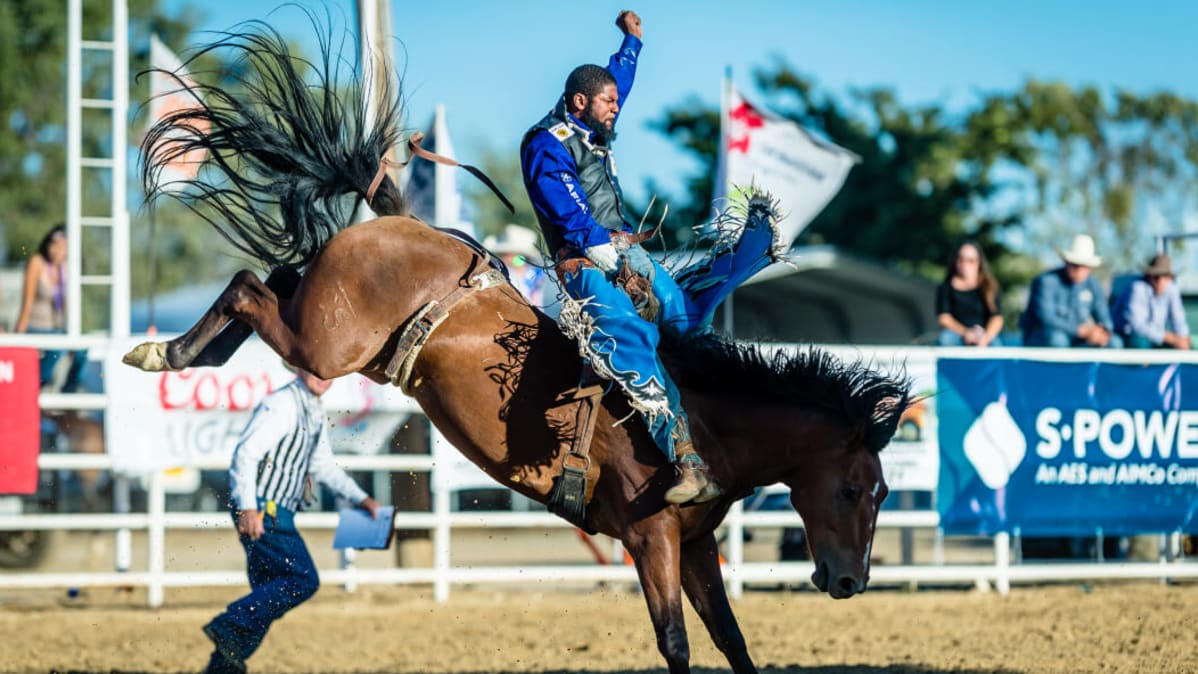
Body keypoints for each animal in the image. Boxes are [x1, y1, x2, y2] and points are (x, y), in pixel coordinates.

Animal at [131, 22, 905, 674]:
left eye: (883, 493)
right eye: (849, 488)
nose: (849, 580)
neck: (708, 425)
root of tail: (403, 224)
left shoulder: (696, 544)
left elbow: (733, 641)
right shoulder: (650, 537)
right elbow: (677, 644)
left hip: (331, 326)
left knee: (271, 278)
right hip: (325, 345)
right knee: (246, 286)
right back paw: (165, 355)